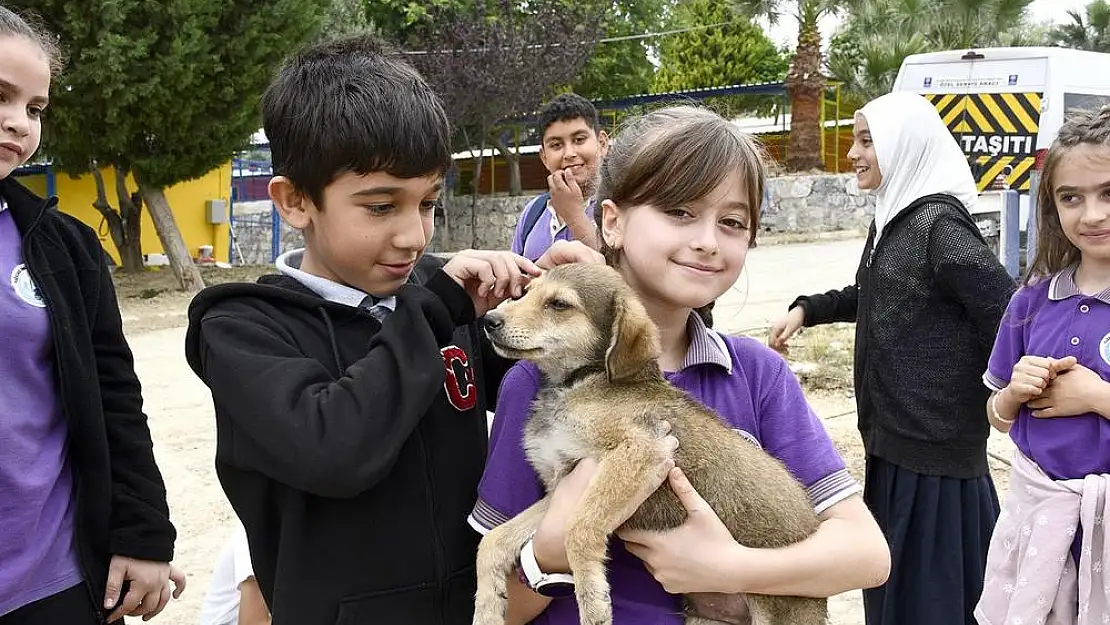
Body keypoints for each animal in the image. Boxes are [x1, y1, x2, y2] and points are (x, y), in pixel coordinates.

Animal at [472, 264, 830, 625]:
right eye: (524, 292)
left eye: (559, 304)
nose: (489, 320)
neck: (577, 384)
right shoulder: (561, 487)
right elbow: (493, 540)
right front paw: (487, 608)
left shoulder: (643, 449)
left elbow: (580, 528)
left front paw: (593, 602)